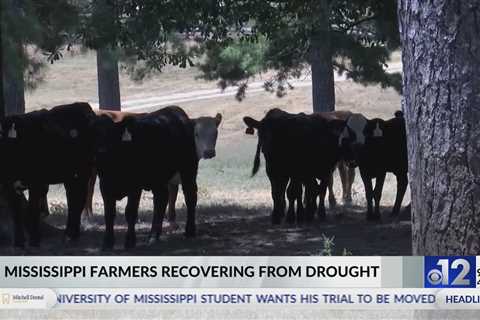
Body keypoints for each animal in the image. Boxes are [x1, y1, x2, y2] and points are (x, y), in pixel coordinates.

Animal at [0, 103, 95, 248]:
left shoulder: (36, 182)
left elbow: (32, 210)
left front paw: (34, 240)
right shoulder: (7, 184)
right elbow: (16, 212)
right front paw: (19, 242)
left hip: (84, 171)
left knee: (79, 199)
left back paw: (71, 234)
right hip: (70, 176)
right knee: (73, 198)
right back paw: (70, 234)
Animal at [93, 105, 198, 250]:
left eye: (112, 134)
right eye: (93, 134)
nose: (101, 150)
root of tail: (175, 110)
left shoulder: (135, 186)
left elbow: (130, 212)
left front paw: (130, 241)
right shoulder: (105, 185)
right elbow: (109, 213)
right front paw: (107, 242)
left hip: (188, 169)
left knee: (190, 196)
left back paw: (190, 231)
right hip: (158, 178)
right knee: (161, 199)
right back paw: (154, 235)